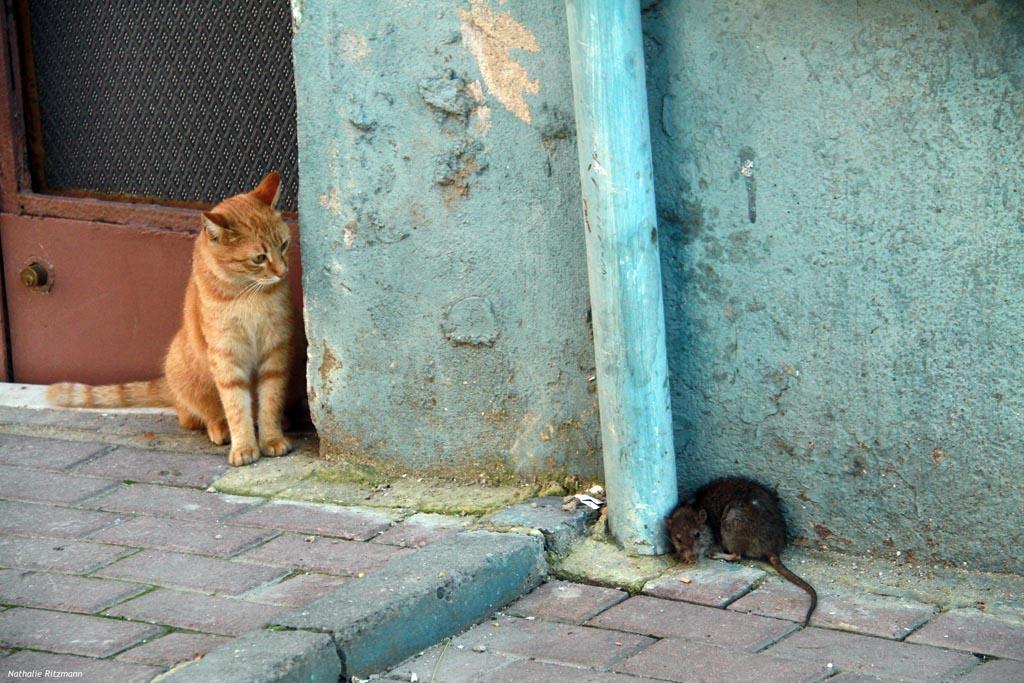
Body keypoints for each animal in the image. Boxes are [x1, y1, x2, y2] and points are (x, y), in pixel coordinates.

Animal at [49, 174, 294, 466]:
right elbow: (235, 406)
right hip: (184, 367)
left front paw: (272, 439)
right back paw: (219, 428)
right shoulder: (226, 357)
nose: (283, 272)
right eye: (259, 258)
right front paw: (244, 446)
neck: (248, 294)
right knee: (195, 415)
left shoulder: (275, 350)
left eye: (284, 245)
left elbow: (270, 401)